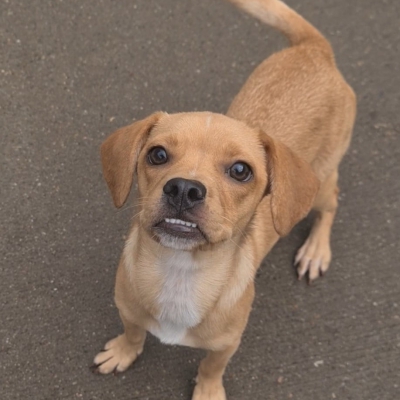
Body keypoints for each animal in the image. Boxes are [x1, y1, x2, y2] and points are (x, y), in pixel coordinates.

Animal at [93, 1, 356, 398]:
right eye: (157, 154)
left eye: (240, 170)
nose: (184, 189)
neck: (180, 273)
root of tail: (314, 49)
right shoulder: (127, 307)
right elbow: (134, 331)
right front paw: (125, 351)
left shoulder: (227, 344)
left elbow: (211, 366)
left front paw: (207, 390)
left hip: (322, 181)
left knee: (332, 204)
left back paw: (315, 250)